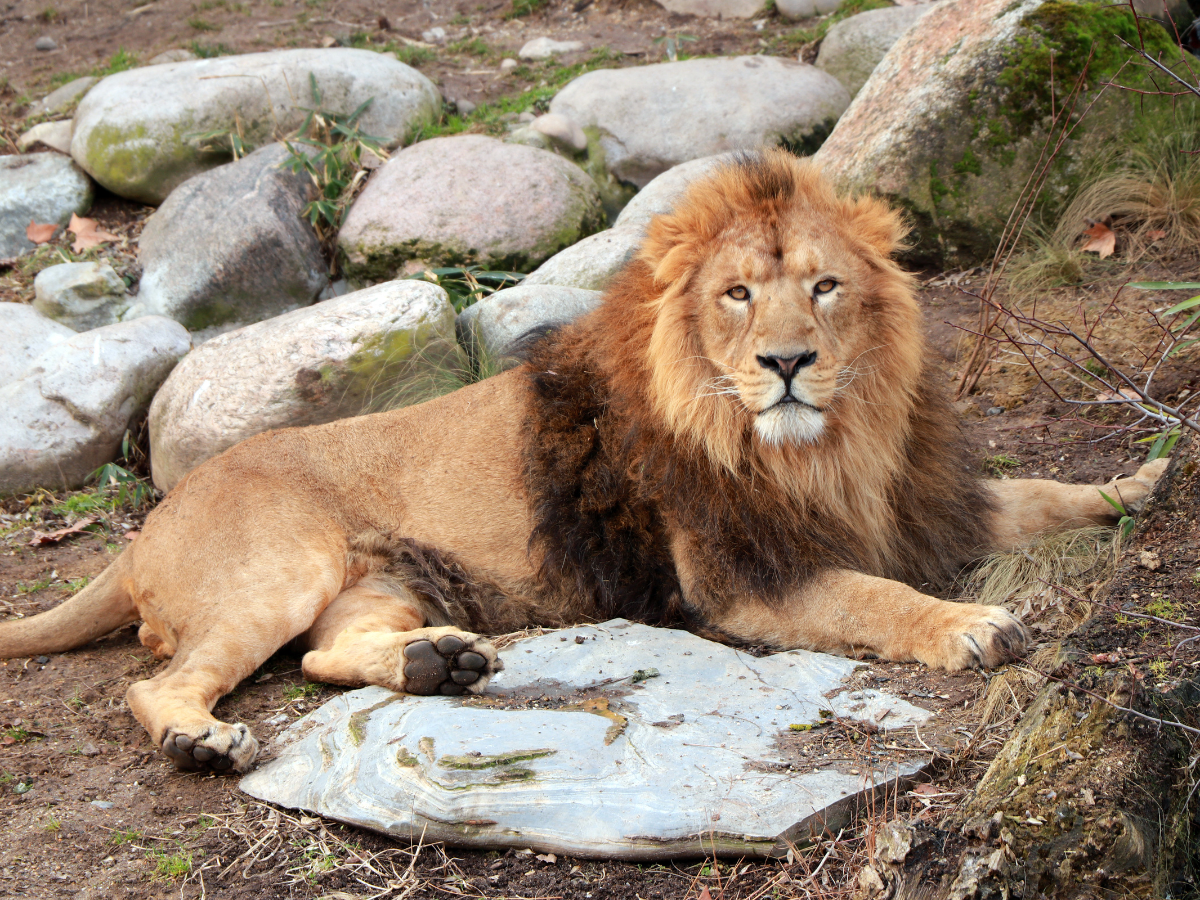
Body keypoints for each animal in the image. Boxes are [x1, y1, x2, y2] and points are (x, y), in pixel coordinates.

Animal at [0, 150, 1167, 774]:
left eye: (825, 286)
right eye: (738, 295)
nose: (788, 363)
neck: (830, 446)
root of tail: (151, 522)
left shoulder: (923, 505)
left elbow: (1040, 495)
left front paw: (1144, 484)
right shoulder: (742, 583)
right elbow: (876, 598)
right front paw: (970, 625)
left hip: (380, 584)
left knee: (326, 659)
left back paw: (439, 663)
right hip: (273, 573)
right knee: (161, 683)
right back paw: (204, 743)